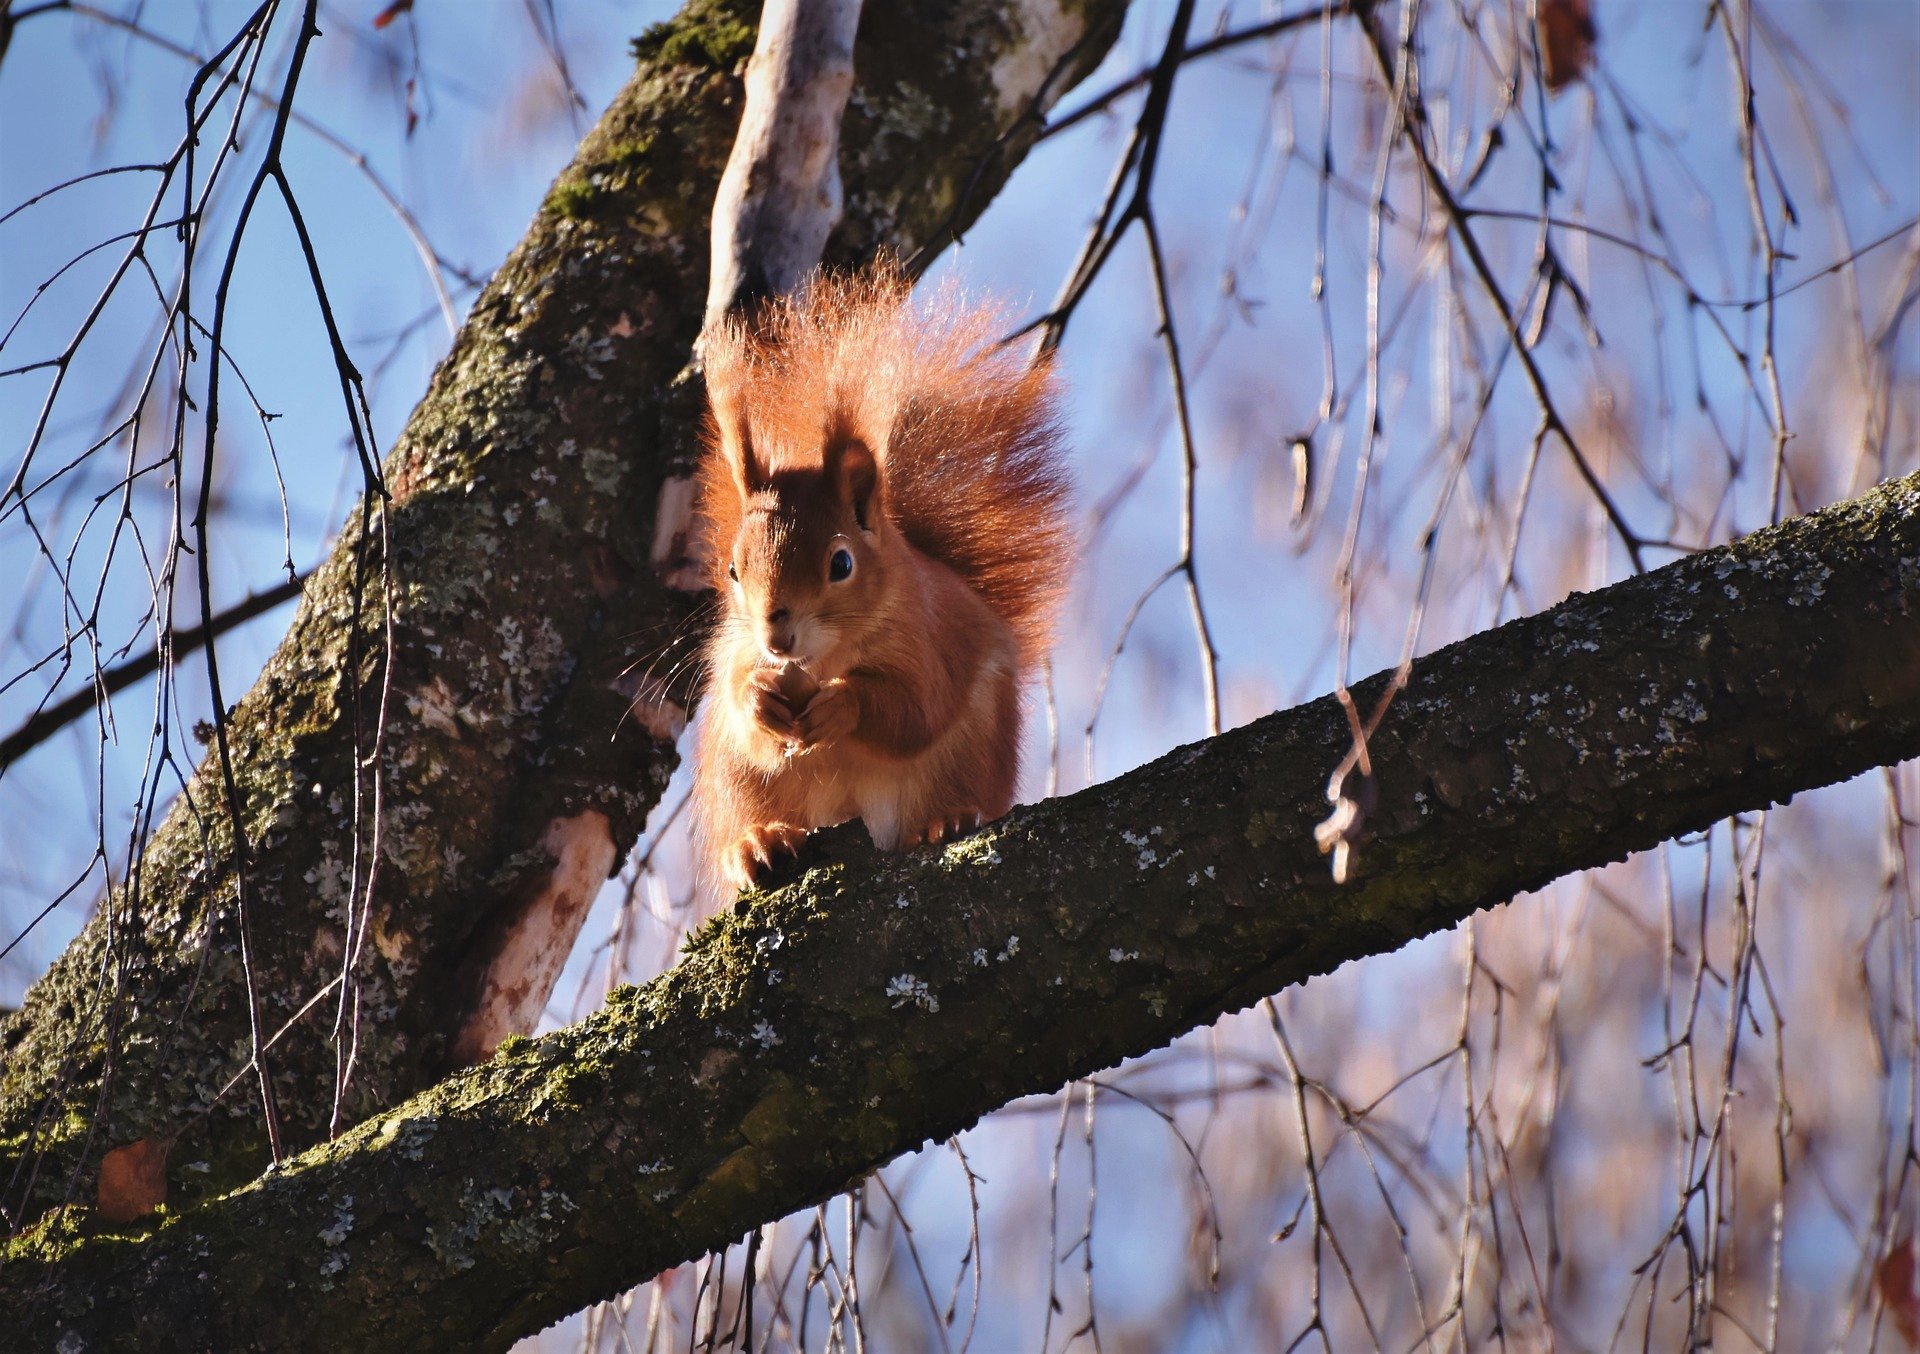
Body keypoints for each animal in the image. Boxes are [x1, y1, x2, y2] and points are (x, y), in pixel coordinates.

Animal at [695, 265, 1082, 891]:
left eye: (841, 564)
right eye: (733, 570)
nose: (776, 636)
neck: (822, 659)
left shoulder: (929, 638)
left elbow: (913, 710)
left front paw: (841, 706)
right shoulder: (735, 651)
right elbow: (740, 699)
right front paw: (758, 697)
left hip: (975, 748)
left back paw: (945, 821)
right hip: (734, 776)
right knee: (751, 804)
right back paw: (758, 842)